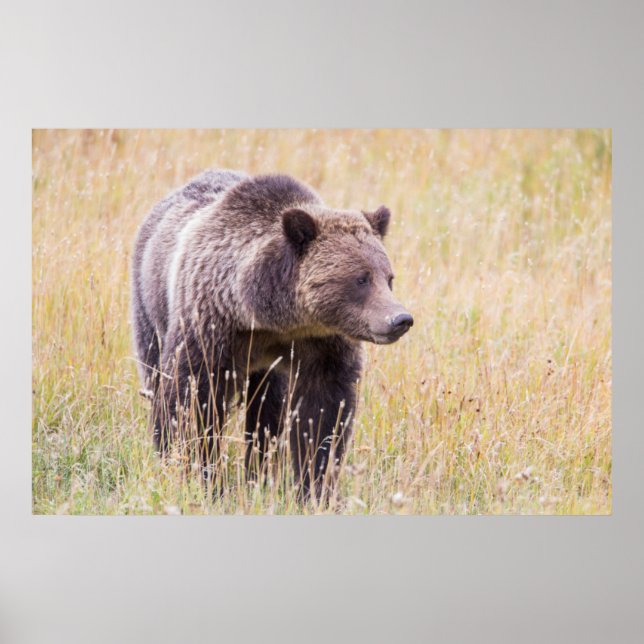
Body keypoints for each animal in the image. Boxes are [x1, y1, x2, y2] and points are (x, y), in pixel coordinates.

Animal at [131, 169, 413, 500]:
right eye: (361, 278)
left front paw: (315, 487)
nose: (400, 319)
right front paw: (198, 475)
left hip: (268, 372)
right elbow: (188, 401)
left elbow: (322, 415)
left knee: (266, 415)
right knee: (155, 373)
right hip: (150, 308)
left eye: (389, 277)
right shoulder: (210, 326)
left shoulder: (320, 346)